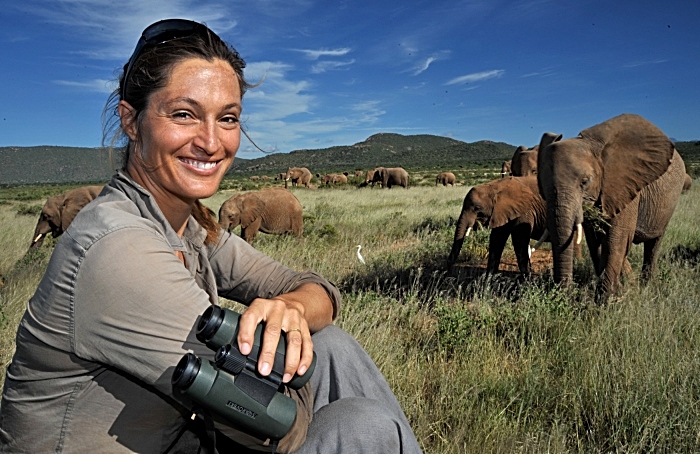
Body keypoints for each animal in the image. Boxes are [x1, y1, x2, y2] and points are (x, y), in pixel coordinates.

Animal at [536, 113, 684, 298]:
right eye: (543, 186)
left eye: (584, 182)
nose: (568, 293)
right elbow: (594, 242)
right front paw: (615, 292)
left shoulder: (625, 186)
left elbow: (616, 241)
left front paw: (605, 301)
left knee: (654, 243)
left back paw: (646, 286)